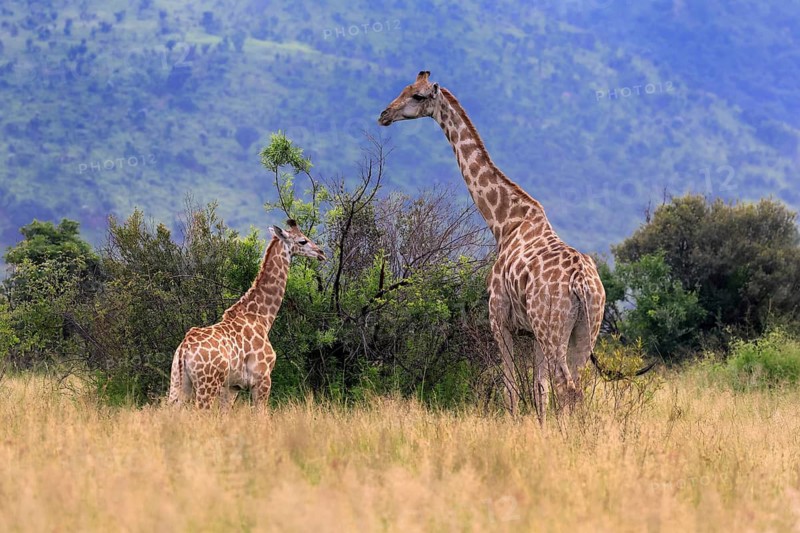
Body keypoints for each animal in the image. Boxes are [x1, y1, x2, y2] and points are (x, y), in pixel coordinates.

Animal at [168, 219, 326, 409]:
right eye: (303, 241)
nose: (321, 253)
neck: (261, 317)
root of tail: (184, 349)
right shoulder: (262, 379)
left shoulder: (232, 387)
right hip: (207, 384)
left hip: (179, 383)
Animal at [379, 71, 629, 421]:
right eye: (404, 88)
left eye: (417, 96)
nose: (384, 115)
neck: (504, 222)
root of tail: (582, 282)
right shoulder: (532, 332)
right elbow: (539, 388)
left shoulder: (499, 318)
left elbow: (510, 386)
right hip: (586, 328)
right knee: (576, 387)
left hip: (553, 328)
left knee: (567, 386)